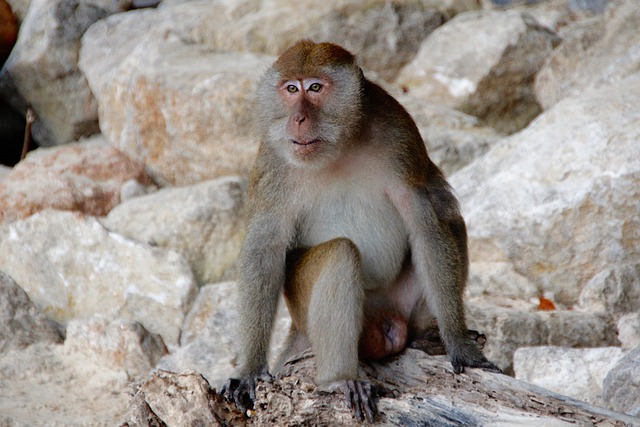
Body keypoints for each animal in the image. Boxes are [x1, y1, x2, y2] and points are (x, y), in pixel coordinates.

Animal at [221, 40, 500, 423]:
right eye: (291, 89)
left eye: (315, 88)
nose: (299, 118)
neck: (340, 145)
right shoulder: (273, 161)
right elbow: (265, 248)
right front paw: (249, 370)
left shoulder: (400, 136)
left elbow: (425, 223)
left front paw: (459, 344)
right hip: (310, 316)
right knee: (340, 253)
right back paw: (340, 378)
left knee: (449, 218)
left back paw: (424, 336)